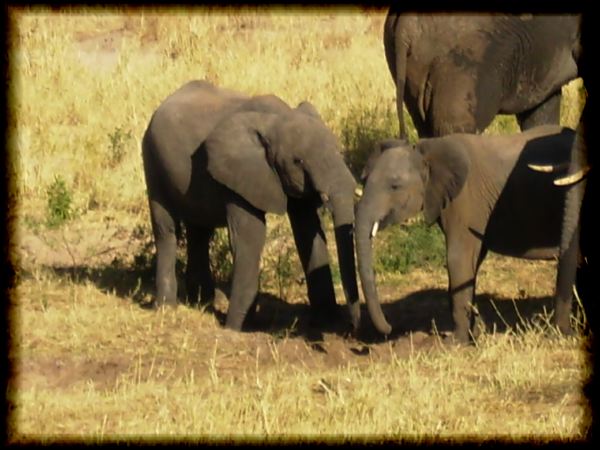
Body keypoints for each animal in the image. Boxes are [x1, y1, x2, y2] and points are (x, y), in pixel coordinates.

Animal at [142, 81, 360, 330]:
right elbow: (251, 234)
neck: (278, 119)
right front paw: (236, 328)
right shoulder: (240, 171)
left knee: (199, 231)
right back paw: (166, 308)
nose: (354, 326)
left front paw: (326, 322)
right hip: (152, 157)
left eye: (338, 148)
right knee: (166, 229)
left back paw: (203, 301)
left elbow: (308, 231)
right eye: (298, 161)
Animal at [356, 125, 580, 342]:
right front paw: (475, 333)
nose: (389, 329)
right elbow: (472, 261)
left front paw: (455, 342)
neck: (425, 151)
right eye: (364, 181)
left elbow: (458, 259)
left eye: (394, 186)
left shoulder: (464, 200)